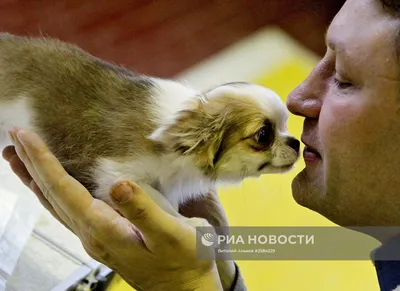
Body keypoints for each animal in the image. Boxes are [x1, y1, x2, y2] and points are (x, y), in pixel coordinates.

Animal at [0, 33, 300, 227]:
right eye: (263, 135)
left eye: (285, 126)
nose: (296, 142)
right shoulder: (115, 175)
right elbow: (159, 201)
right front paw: (190, 223)